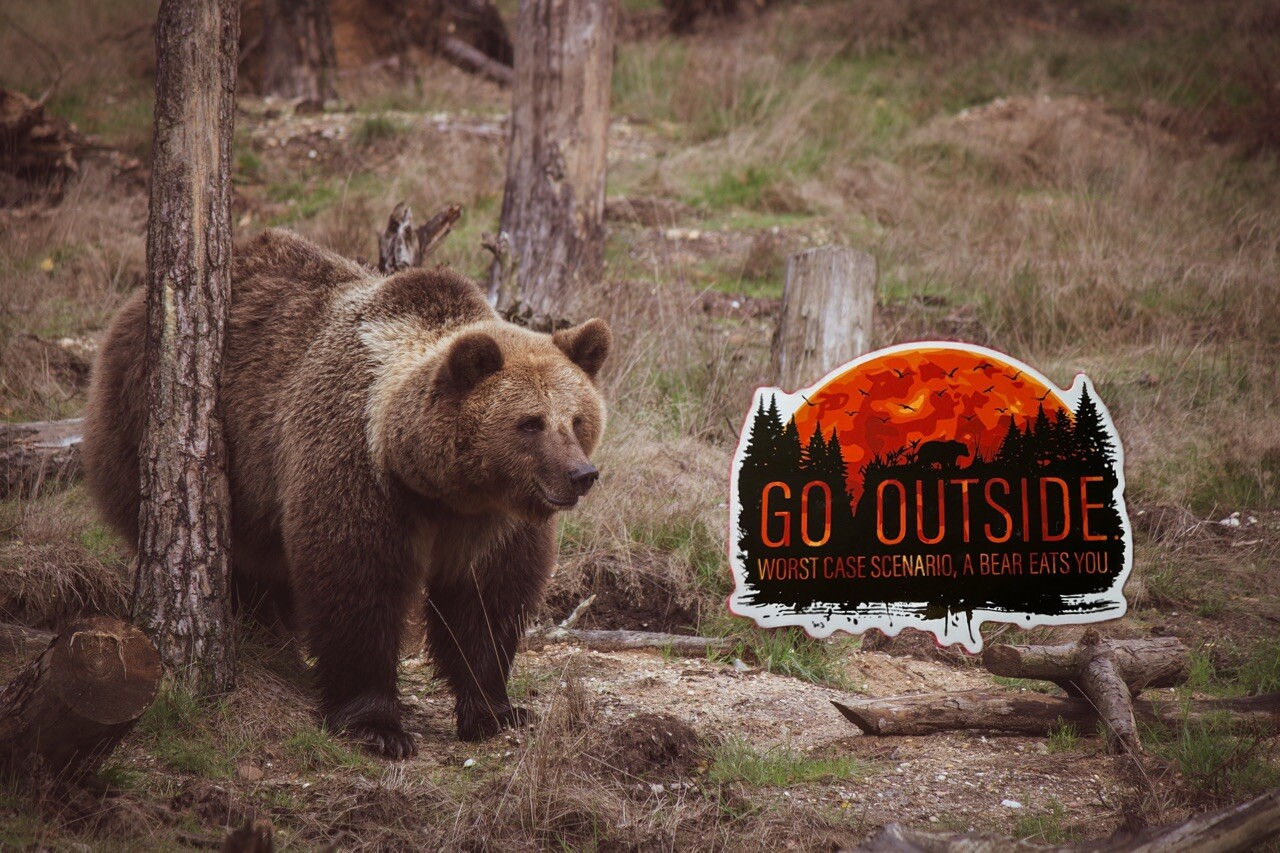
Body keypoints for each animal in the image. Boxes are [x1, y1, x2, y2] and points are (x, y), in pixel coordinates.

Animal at [81, 229, 610, 758]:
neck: (437, 486)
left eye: (577, 419)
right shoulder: (357, 469)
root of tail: (131, 309)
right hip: (157, 430)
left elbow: (486, 601)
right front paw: (376, 725)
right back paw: (265, 636)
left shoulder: (492, 521)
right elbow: (356, 584)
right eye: (530, 422)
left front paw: (496, 710)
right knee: (242, 564)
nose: (581, 474)